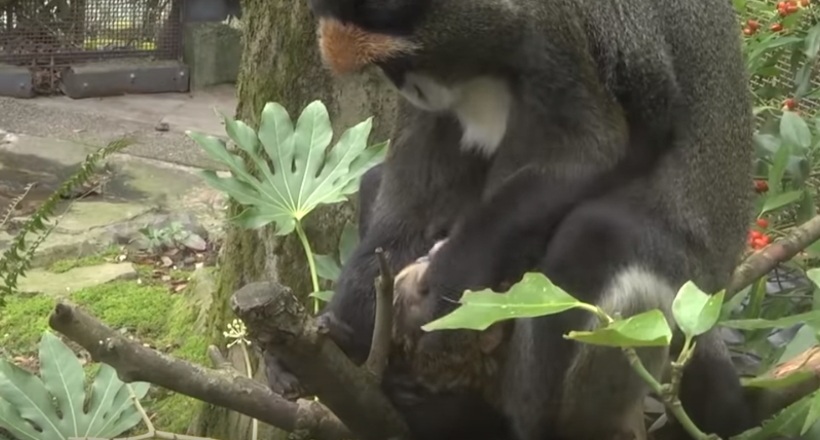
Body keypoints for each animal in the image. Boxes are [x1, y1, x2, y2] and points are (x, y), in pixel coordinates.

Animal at [266, 0, 760, 440]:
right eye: (391, 71)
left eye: (403, 62)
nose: (412, 90)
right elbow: (412, 206)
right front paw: (336, 341)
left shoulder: (553, 37)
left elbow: (588, 153)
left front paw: (443, 286)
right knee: (374, 184)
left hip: (688, 287)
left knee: (598, 233)